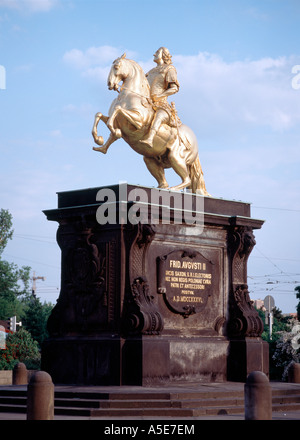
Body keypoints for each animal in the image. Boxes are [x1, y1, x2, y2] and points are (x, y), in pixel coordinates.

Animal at [91, 53, 209, 194]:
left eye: (116, 66)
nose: (110, 84)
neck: (129, 96)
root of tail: (194, 140)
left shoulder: (138, 122)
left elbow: (117, 111)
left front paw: (114, 132)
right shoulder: (119, 121)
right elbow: (99, 115)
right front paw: (99, 141)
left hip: (175, 157)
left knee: (187, 180)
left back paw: (173, 189)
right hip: (150, 158)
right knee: (164, 181)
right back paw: (161, 188)